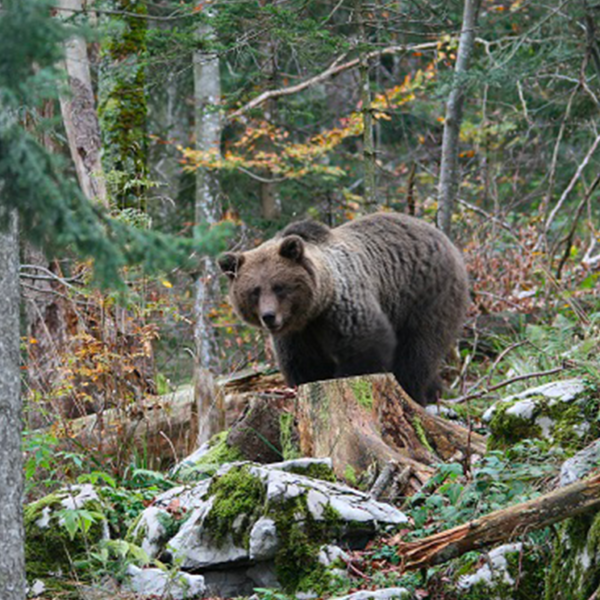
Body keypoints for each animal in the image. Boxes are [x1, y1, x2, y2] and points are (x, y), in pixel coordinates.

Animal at [218, 211, 472, 404]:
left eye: (279, 287)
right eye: (254, 291)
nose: (269, 316)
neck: (314, 310)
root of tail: (446, 240)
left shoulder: (342, 308)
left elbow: (366, 347)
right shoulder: (297, 335)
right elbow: (303, 365)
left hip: (428, 296)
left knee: (418, 352)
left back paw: (416, 392)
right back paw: (434, 391)